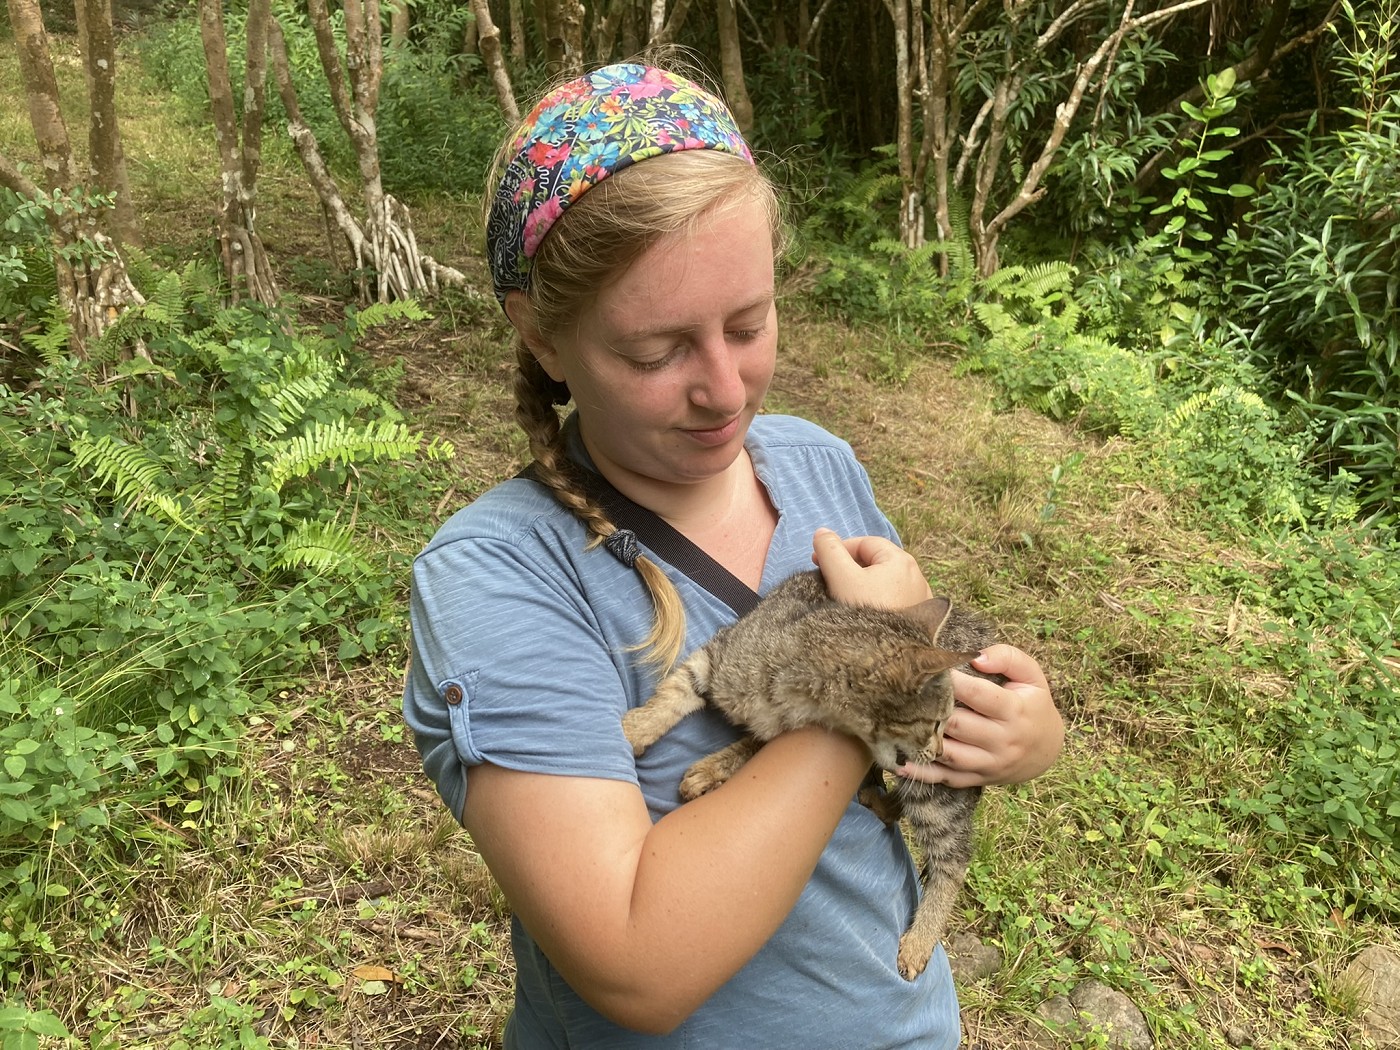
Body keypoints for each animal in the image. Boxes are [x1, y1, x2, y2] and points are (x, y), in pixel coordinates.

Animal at [624, 571, 996, 985]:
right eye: (935, 724)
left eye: (948, 722)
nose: (944, 750)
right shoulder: (718, 655)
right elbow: (674, 691)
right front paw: (637, 728)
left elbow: (747, 746)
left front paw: (711, 767)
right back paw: (877, 798)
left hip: (936, 793)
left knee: (954, 859)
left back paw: (919, 940)